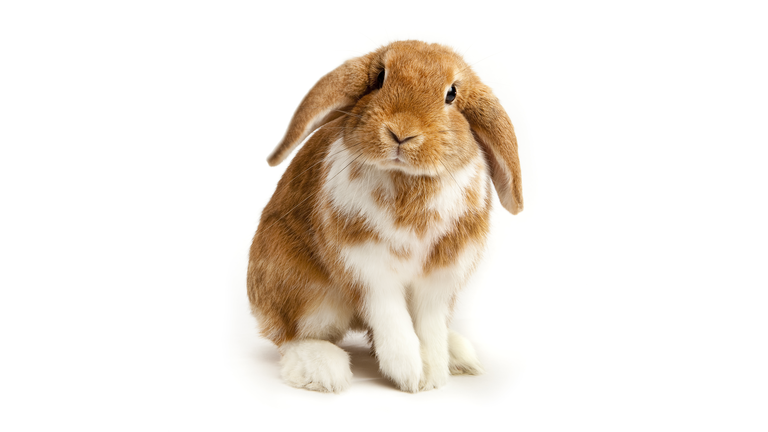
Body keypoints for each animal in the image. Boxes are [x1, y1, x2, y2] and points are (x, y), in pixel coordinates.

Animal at [247, 40, 522, 393]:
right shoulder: (368, 269)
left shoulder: (441, 278)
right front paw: (410, 373)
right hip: (304, 289)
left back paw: (458, 355)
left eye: (451, 94)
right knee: (291, 335)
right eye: (380, 78)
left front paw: (432, 374)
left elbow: (429, 327)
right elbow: (393, 319)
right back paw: (322, 368)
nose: (401, 132)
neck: (406, 178)